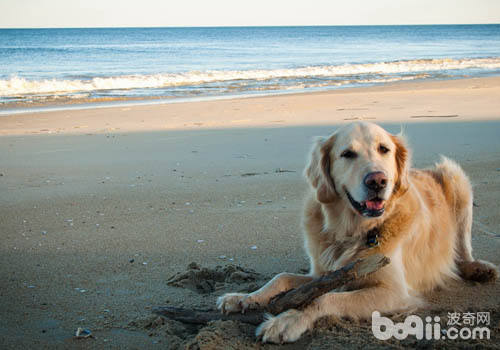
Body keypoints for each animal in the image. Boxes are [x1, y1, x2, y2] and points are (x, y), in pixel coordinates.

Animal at [217, 121, 498, 344]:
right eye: (347, 154)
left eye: (384, 149)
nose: (378, 181)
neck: (353, 230)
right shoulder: (323, 273)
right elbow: (281, 277)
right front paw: (244, 297)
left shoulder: (393, 291)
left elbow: (323, 299)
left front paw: (287, 321)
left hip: (456, 178)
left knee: (463, 249)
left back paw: (478, 268)